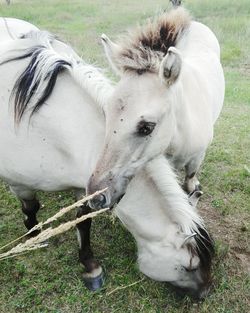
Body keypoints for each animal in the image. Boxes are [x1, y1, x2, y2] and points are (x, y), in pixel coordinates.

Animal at [0, 18, 214, 296]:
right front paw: (33, 237)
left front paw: (90, 266)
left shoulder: (83, 187)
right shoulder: (19, 184)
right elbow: (31, 209)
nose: (205, 291)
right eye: (190, 266)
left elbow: (82, 222)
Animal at [87, 5, 226, 210]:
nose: (96, 198)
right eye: (106, 114)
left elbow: (191, 174)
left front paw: (193, 187)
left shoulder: (198, 155)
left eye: (147, 127)